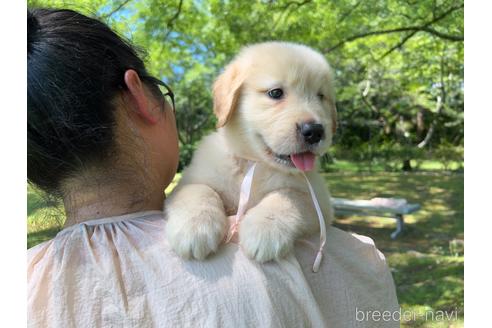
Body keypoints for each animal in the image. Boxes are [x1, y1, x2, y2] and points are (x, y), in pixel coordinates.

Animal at [165, 41, 338, 262]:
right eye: (275, 93)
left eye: (321, 96)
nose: (315, 131)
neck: (254, 162)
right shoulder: (190, 180)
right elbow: (199, 190)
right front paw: (195, 227)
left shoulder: (319, 200)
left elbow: (289, 197)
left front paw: (265, 228)